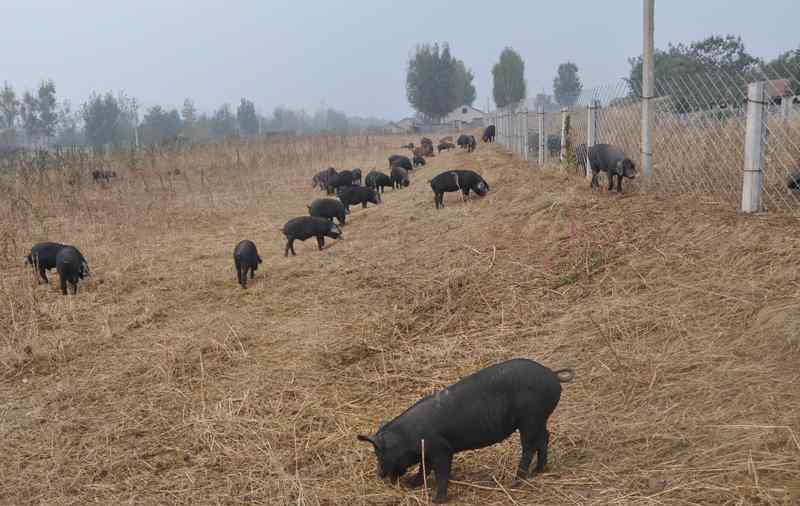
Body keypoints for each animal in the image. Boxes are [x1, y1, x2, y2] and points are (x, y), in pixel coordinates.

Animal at [358, 358, 576, 504]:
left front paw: (437, 500)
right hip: (539, 419)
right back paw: (539, 471)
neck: (407, 437)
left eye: (379, 453)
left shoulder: (441, 450)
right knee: (544, 438)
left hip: (530, 419)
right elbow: (423, 469)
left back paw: (516, 481)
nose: (378, 474)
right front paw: (412, 484)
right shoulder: (427, 453)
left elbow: (441, 473)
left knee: (529, 447)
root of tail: (552, 374)